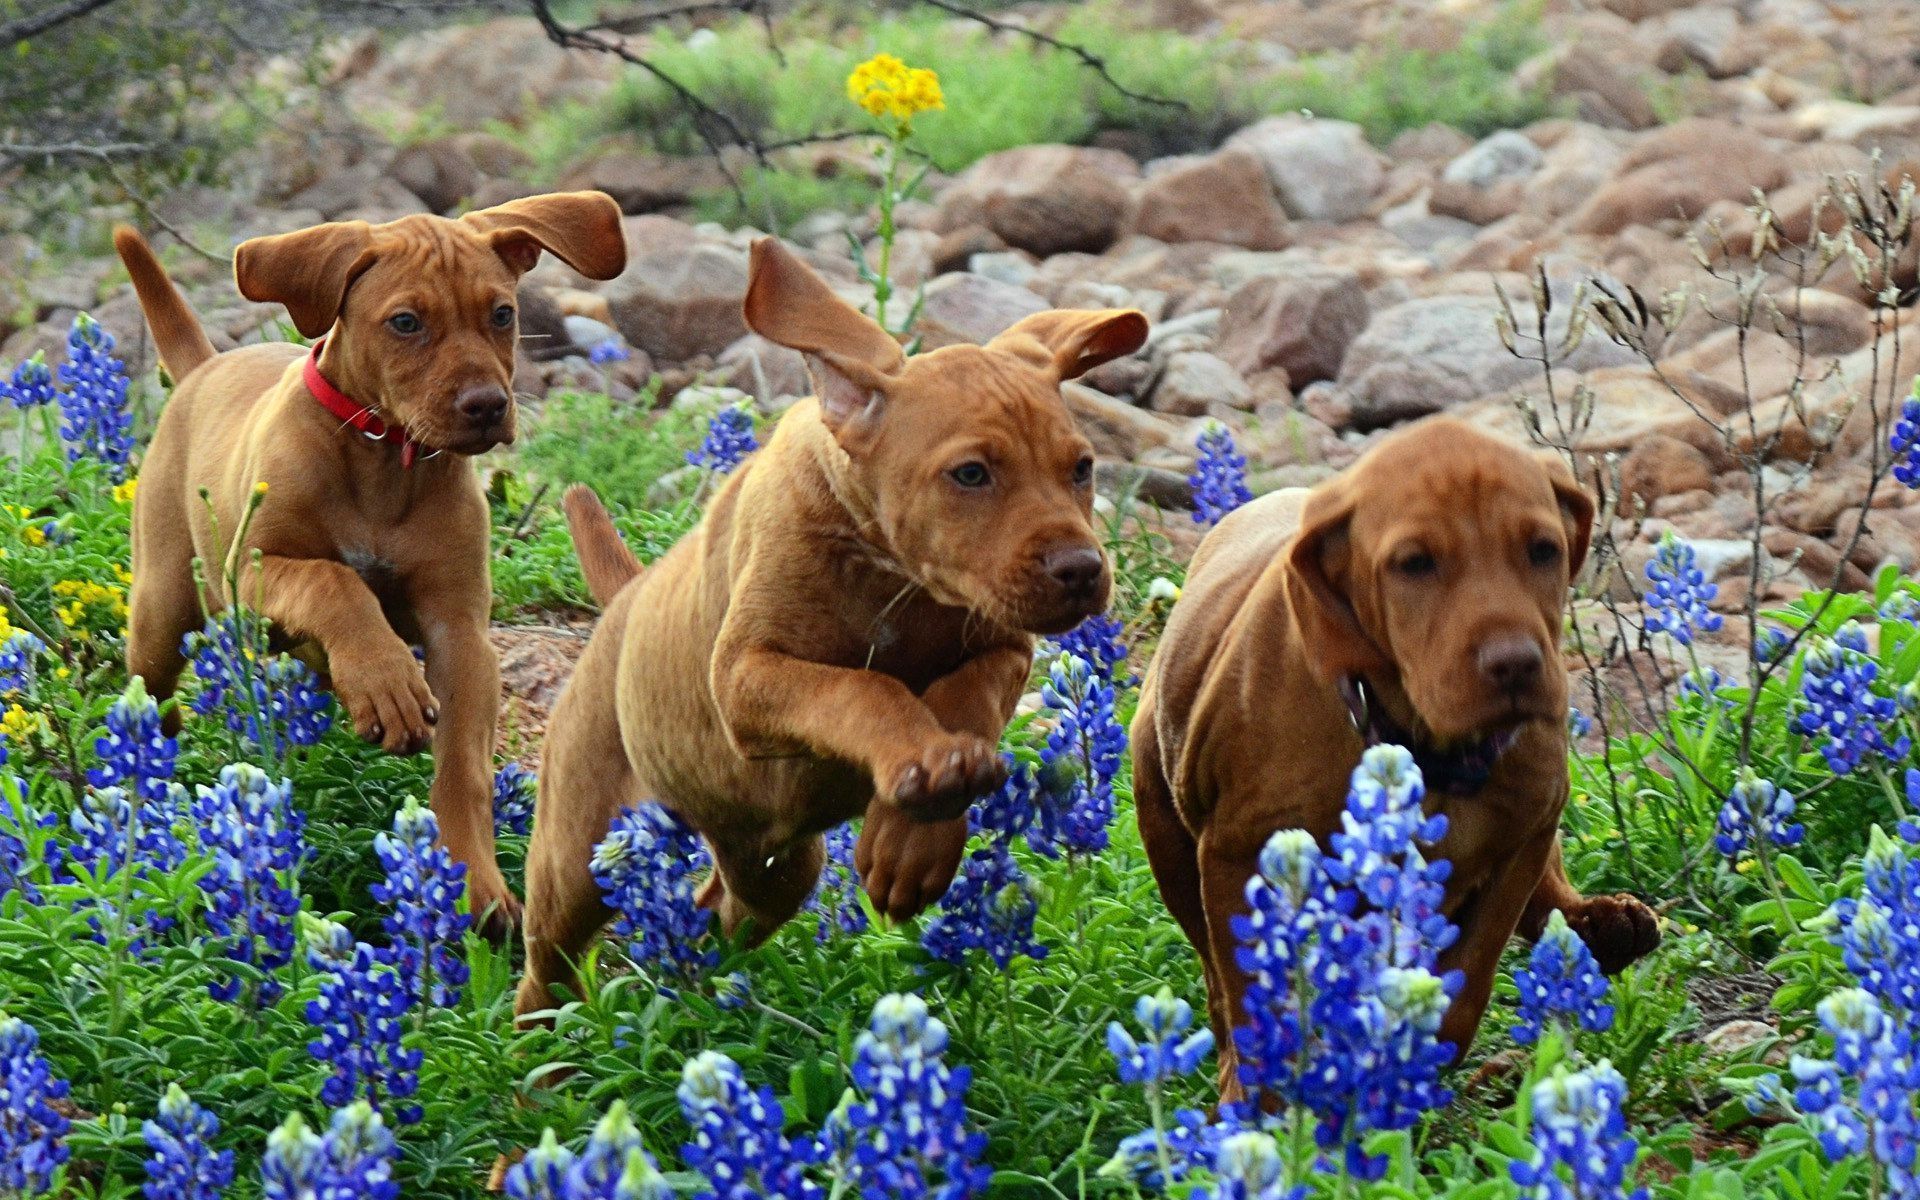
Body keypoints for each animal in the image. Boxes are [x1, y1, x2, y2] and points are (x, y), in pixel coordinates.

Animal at [116, 193, 625, 936]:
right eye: (406, 323)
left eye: (502, 314)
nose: (487, 407)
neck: (384, 457)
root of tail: (206, 366)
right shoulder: (253, 570)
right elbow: (336, 580)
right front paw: (386, 682)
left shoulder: (459, 633)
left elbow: (461, 772)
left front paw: (474, 884)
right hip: (164, 606)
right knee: (155, 686)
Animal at [510, 236, 1144, 1021]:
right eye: (970, 474)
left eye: (1082, 468)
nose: (1083, 569)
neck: (891, 579)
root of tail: (625, 598)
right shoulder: (745, 678)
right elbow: (861, 689)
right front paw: (925, 765)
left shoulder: (1004, 644)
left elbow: (965, 695)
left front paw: (914, 838)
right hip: (578, 853)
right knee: (548, 962)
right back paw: (549, 1045)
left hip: (775, 864)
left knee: (720, 909)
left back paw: (690, 983)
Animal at [1128, 414, 1658, 1098]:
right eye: (1414, 564)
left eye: (1543, 549)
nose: (1516, 664)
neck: (1426, 747)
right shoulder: (1236, 859)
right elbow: (1250, 1004)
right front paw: (1265, 1103)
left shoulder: (1525, 833)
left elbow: (1466, 987)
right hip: (1164, 826)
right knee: (1218, 988)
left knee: (1548, 895)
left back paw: (1600, 926)